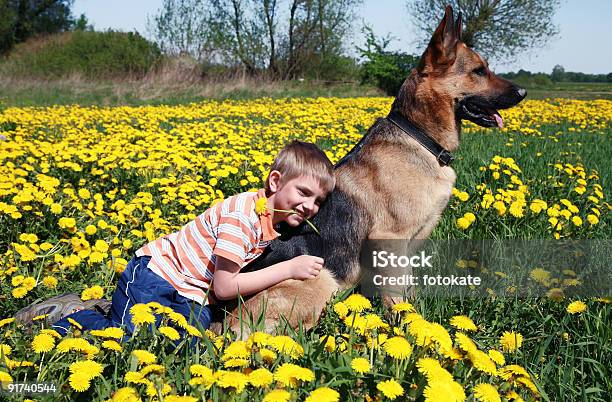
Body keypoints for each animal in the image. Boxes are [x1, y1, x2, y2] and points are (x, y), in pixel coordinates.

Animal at [210, 5, 524, 336]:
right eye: (479, 71)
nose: (523, 92)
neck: (419, 137)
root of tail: (223, 322)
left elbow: (408, 290)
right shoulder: (389, 240)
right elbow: (396, 298)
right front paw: (403, 331)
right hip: (321, 278)